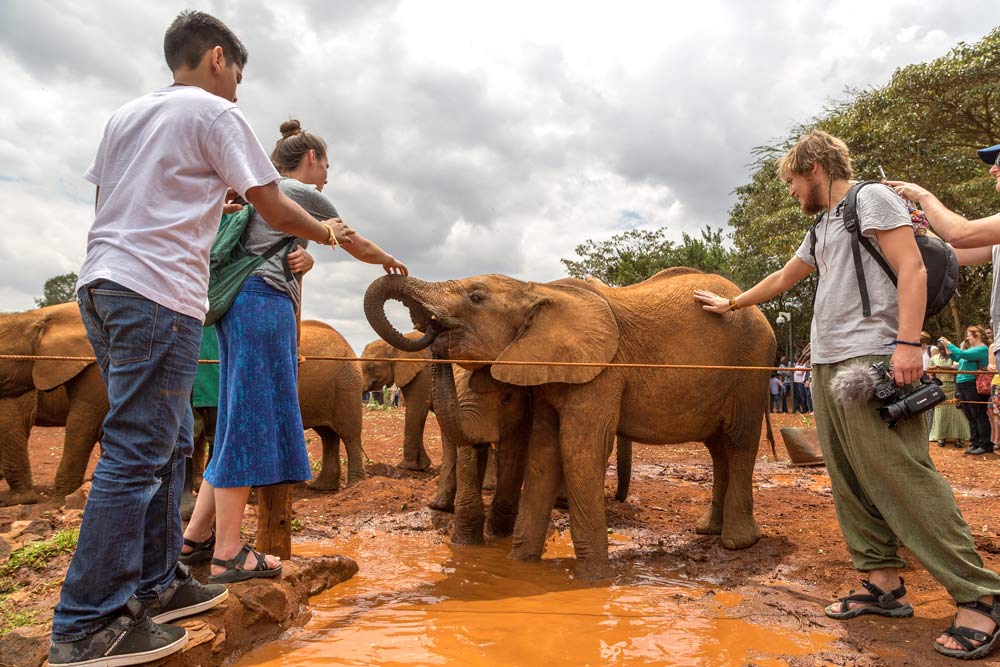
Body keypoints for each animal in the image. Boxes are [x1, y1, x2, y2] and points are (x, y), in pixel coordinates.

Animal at [364, 336, 434, 472]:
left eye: (371, 368)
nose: (368, 461)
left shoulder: (424, 375)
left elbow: (416, 410)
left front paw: (406, 467)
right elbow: (420, 417)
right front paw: (422, 466)